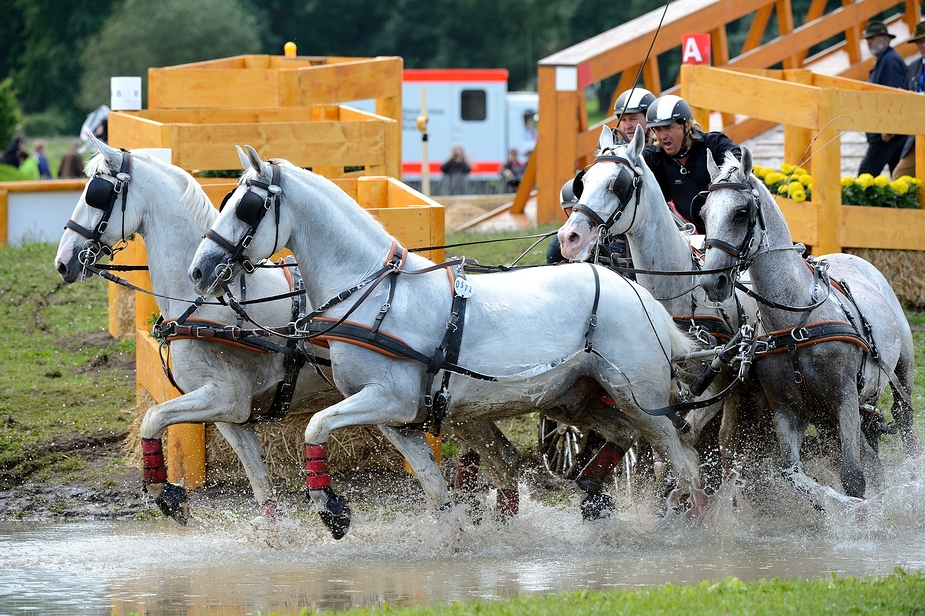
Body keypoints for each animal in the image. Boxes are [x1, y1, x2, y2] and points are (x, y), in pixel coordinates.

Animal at [189, 146, 700, 540]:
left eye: (246, 207)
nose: (200, 269)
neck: (375, 294)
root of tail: (638, 293)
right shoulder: (398, 418)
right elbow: (435, 490)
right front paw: (455, 539)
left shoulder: (387, 398)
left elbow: (315, 426)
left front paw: (332, 510)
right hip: (573, 399)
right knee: (627, 439)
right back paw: (597, 498)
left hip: (641, 399)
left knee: (683, 462)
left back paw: (692, 524)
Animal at [556, 126, 764, 490]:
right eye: (584, 180)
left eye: (618, 184)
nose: (570, 238)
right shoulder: (656, 391)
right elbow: (660, 455)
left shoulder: (714, 384)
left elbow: (691, 438)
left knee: (727, 439)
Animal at [700, 147, 916, 508]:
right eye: (703, 213)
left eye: (741, 212)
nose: (710, 281)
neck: (795, 324)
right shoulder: (789, 412)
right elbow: (794, 474)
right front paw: (830, 506)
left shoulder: (844, 400)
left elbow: (853, 479)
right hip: (829, 416)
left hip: (901, 376)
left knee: (905, 423)